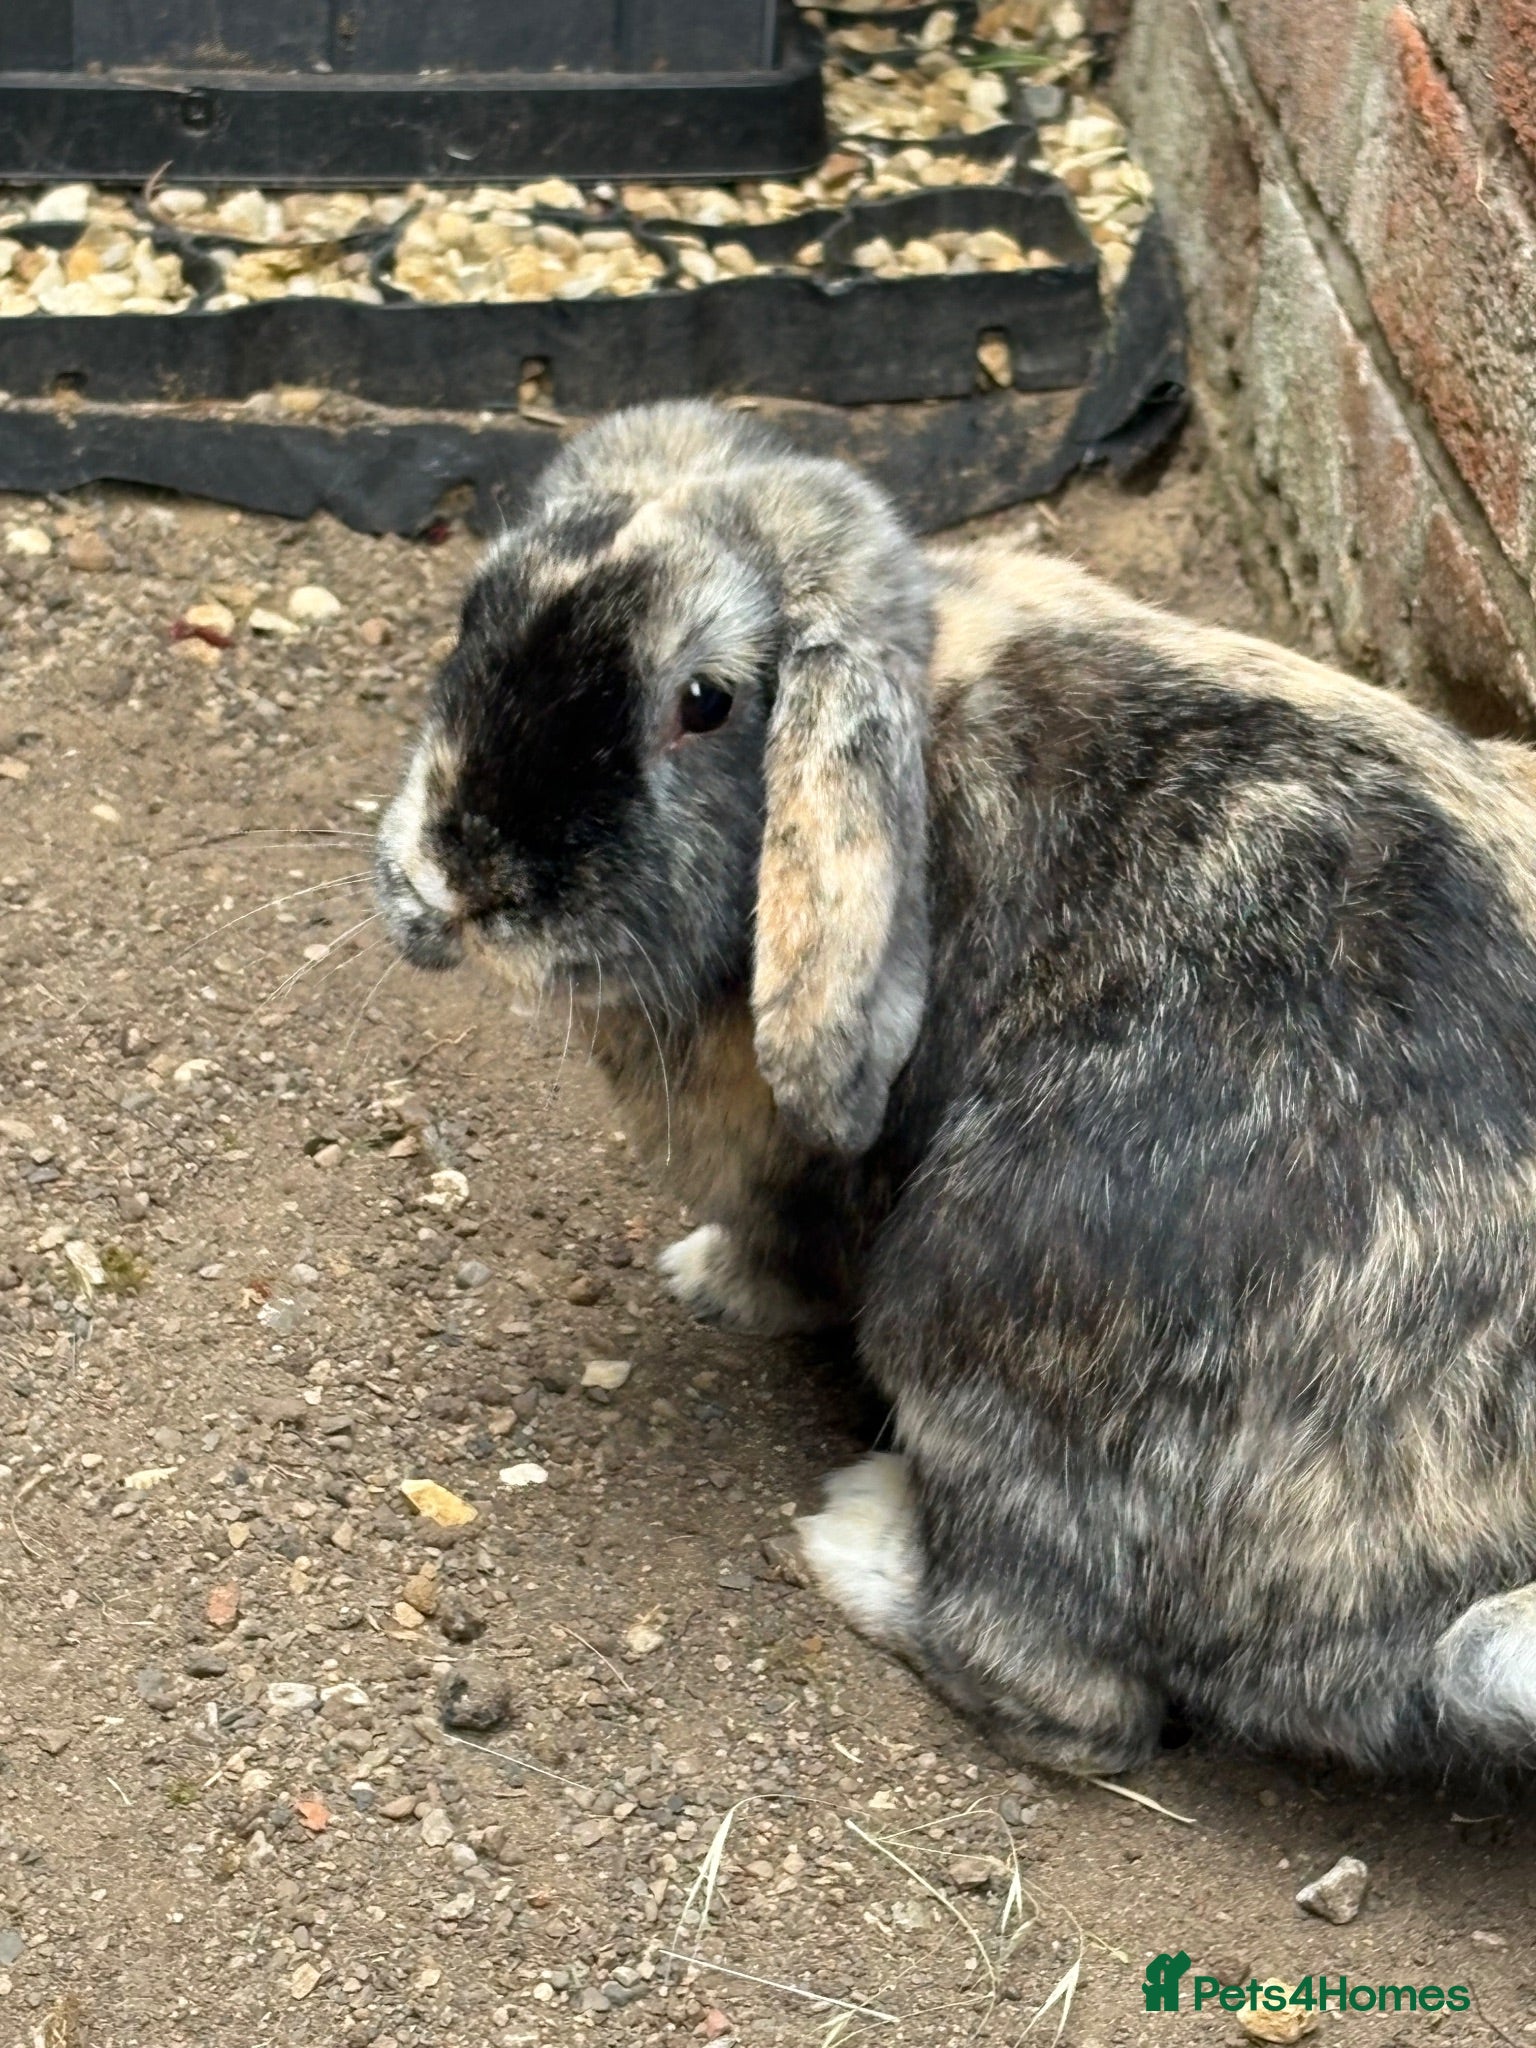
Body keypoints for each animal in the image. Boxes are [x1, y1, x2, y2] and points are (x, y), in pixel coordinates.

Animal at [377, 399, 1536, 1780]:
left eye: (703, 701)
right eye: (479, 609)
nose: (457, 874)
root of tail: (1424, 1624)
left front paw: (711, 1282)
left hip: (974, 1306)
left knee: (1072, 1697)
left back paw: (855, 1536)